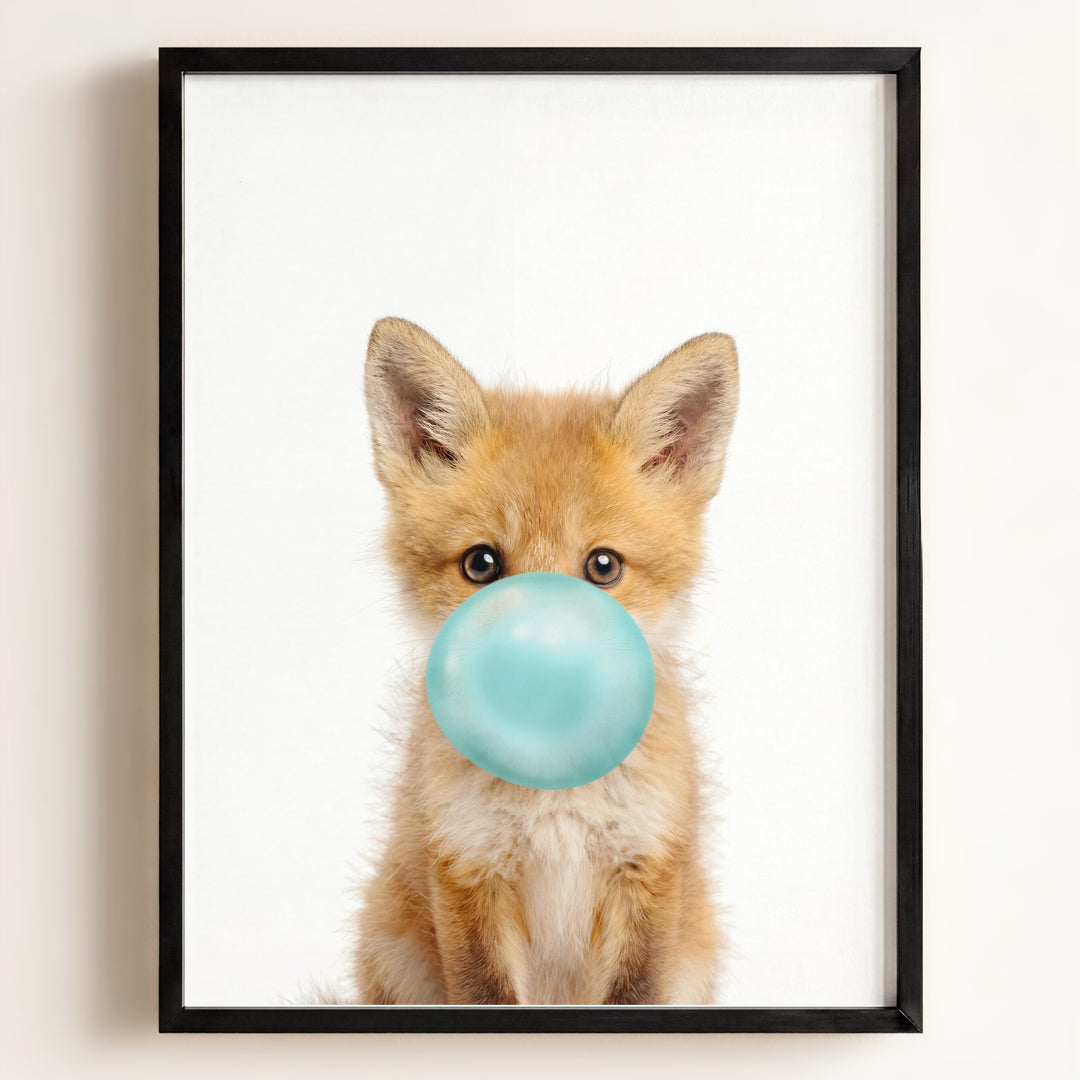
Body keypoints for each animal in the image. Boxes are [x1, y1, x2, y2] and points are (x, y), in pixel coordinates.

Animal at [353, 316, 739, 1006]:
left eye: (603, 566)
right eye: (481, 564)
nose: (538, 662)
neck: (555, 795)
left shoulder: (647, 869)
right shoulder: (467, 867)